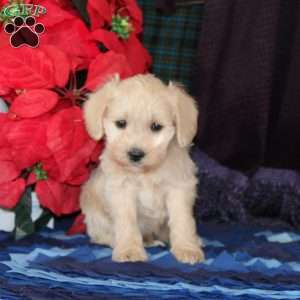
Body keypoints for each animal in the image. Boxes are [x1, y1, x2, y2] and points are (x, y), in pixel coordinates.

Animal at [81, 74, 205, 264]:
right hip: (95, 218)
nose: (135, 154)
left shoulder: (179, 188)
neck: (145, 172)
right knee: (100, 237)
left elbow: (182, 220)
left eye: (156, 126)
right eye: (121, 123)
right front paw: (129, 250)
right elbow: (127, 222)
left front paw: (187, 249)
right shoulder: (121, 191)